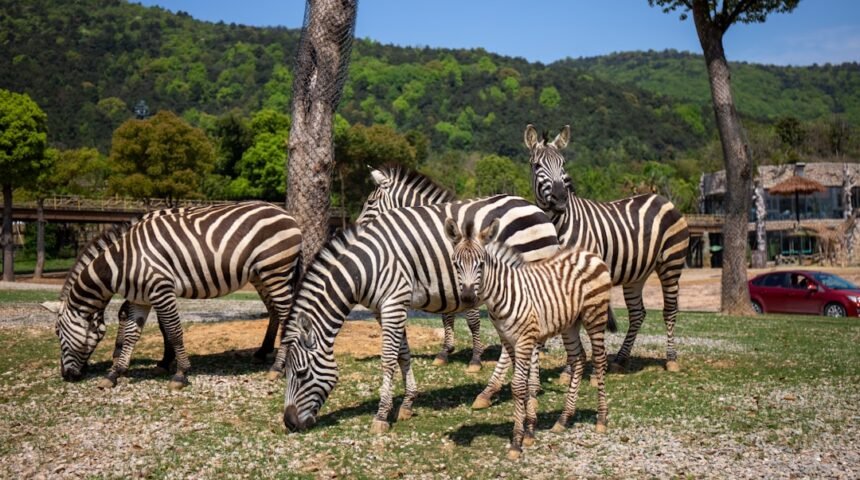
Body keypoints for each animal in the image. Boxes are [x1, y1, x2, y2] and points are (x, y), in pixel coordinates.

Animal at [54, 201, 302, 389]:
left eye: (58, 333)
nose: (66, 376)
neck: (123, 261)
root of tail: (285, 213)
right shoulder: (142, 297)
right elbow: (136, 330)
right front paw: (116, 371)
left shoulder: (161, 290)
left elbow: (171, 330)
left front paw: (177, 371)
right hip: (261, 275)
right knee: (274, 310)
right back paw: (263, 352)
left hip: (275, 270)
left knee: (286, 314)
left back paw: (277, 367)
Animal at [280, 195, 560, 434]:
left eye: (301, 373)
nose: (289, 423)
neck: (366, 267)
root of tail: (534, 207)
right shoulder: (384, 308)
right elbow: (402, 353)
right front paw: (407, 404)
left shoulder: (393, 303)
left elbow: (388, 359)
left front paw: (381, 416)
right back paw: (490, 393)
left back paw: (525, 390)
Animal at [356, 165, 485, 372]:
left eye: (370, 202)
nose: (357, 229)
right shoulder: (445, 278)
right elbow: (447, 316)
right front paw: (445, 352)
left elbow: (472, 320)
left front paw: (476, 359)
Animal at [445, 218, 614, 460]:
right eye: (456, 264)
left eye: (481, 264)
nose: (467, 297)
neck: (503, 293)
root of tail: (589, 253)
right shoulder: (508, 340)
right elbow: (522, 385)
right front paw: (529, 432)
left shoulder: (525, 339)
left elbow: (518, 386)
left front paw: (517, 442)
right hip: (570, 323)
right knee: (579, 358)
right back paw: (564, 419)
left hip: (595, 316)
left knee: (599, 360)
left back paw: (601, 419)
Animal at [525, 124, 690, 373]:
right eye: (536, 165)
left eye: (563, 164)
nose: (561, 198)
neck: (560, 223)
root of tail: (662, 198)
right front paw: (570, 368)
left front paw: (581, 368)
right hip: (636, 273)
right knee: (638, 313)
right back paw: (621, 358)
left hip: (671, 262)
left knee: (670, 310)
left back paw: (671, 359)